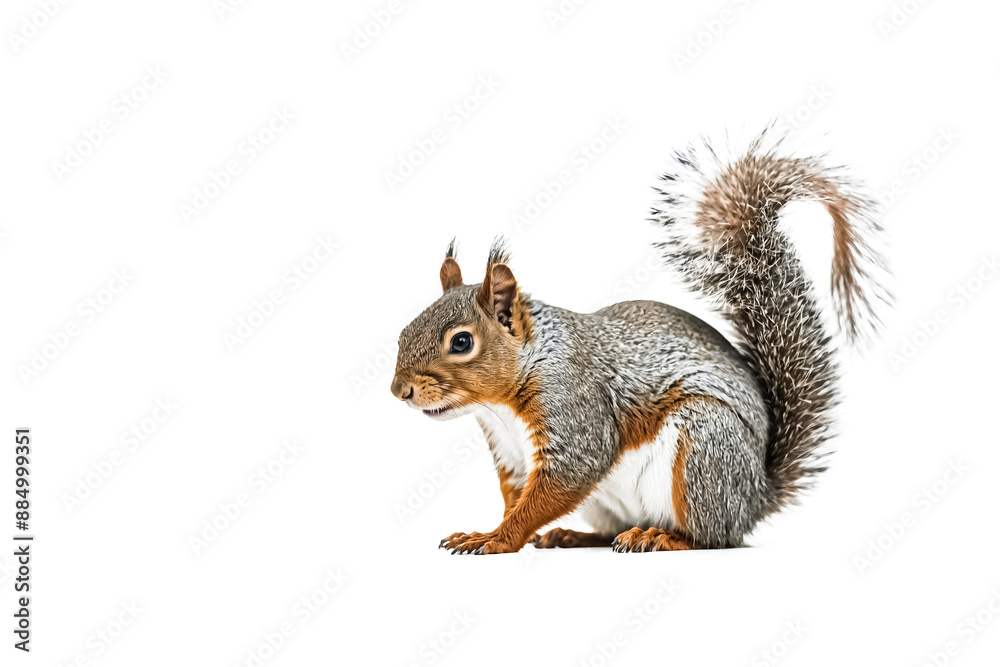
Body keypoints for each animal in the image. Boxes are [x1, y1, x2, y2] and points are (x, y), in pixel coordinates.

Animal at [391, 131, 888, 554]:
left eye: (461, 342)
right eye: (402, 332)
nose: (400, 391)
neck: (506, 399)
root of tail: (755, 498)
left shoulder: (576, 409)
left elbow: (559, 483)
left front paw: (494, 539)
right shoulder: (511, 453)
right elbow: (517, 496)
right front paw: (494, 530)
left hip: (705, 450)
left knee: (713, 537)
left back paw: (662, 538)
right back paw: (574, 535)